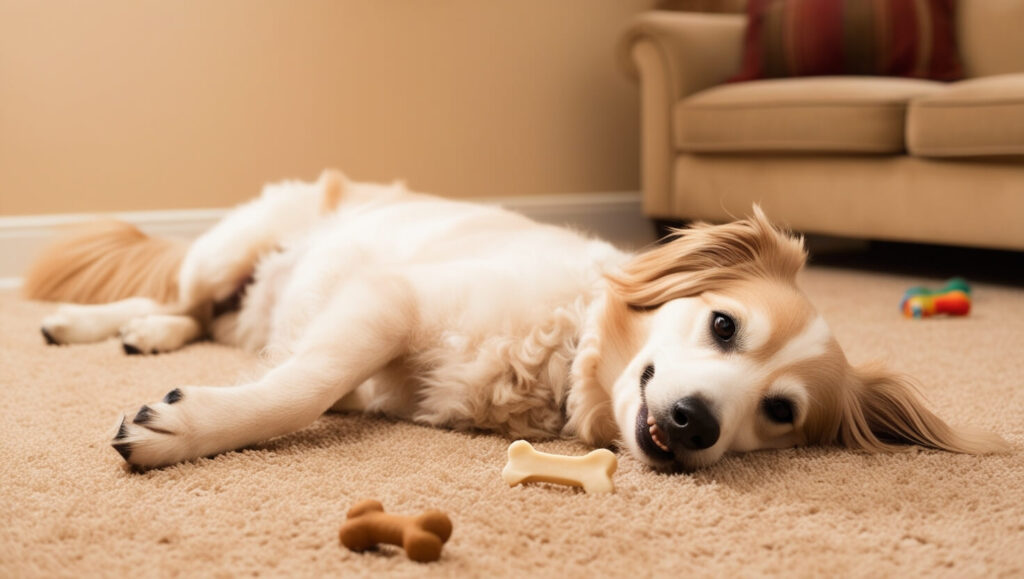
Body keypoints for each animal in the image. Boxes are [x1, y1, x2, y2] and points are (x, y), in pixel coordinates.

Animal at [24, 170, 1007, 469]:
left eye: (781, 412)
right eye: (724, 325)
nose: (695, 424)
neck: (564, 349)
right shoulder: (389, 298)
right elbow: (302, 388)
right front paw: (187, 427)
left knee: (189, 316)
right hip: (227, 247)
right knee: (179, 297)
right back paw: (86, 326)